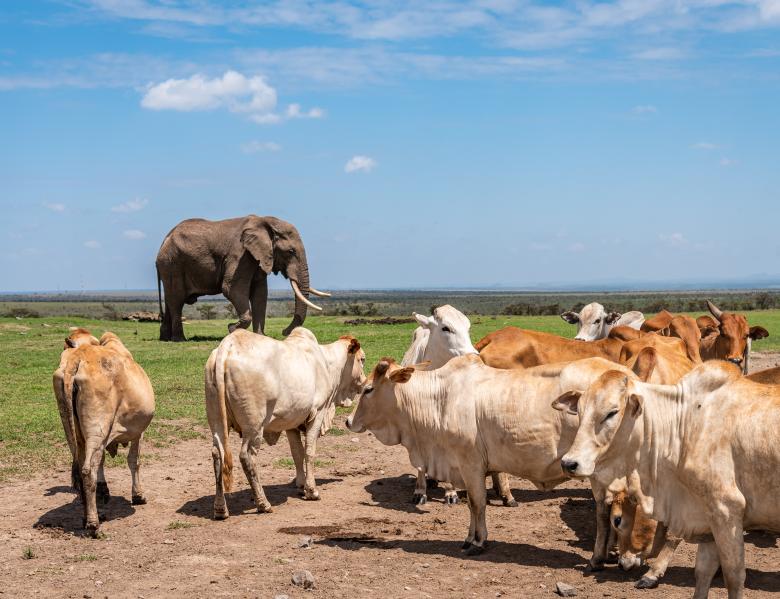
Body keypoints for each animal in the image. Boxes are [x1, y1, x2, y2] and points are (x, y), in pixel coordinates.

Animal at [52, 330, 155, 536]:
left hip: (72, 429)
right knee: (87, 470)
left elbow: (102, 462)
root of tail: (76, 359)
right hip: (97, 427)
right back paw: (93, 523)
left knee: (80, 468)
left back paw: (88, 517)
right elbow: (134, 461)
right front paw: (138, 495)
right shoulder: (138, 433)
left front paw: (104, 490)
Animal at [155, 214, 330, 342]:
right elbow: (231, 288)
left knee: (171, 301)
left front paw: (260, 337)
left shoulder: (258, 258)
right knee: (176, 300)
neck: (265, 221)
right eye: (291, 252)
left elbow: (260, 294)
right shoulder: (240, 255)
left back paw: (165, 339)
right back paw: (179, 340)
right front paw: (232, 329)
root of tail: (163, 241)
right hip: (172, 263)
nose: (284, 331)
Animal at [207, 328, 366, 520]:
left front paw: (301, 484)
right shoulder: (318, 413)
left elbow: (297, 453)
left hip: (217, 421)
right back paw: (263, 503)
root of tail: (228, 344)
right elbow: (309, 451)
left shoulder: (291, 421)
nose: (365, 381)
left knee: (218, 454)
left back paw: (220, 509)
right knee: (247, 456)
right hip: (254, 426)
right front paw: (311, 490)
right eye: (362, 359)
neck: (327, 363)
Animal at [348, 356, 632, 568]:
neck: (439, 399)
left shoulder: (471, 464)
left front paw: (477, 541)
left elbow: (477, 503)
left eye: (368, 389)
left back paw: (598, 557)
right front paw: (468, 538)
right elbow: (471, 506)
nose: (348, 421)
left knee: (604, 509)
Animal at [556, 360, 780, 599]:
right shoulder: (705, 517)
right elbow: (703, 572)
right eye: (579, 411)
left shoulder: (727, 510)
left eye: (612, 412)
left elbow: (734, 578)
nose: (569, 463)